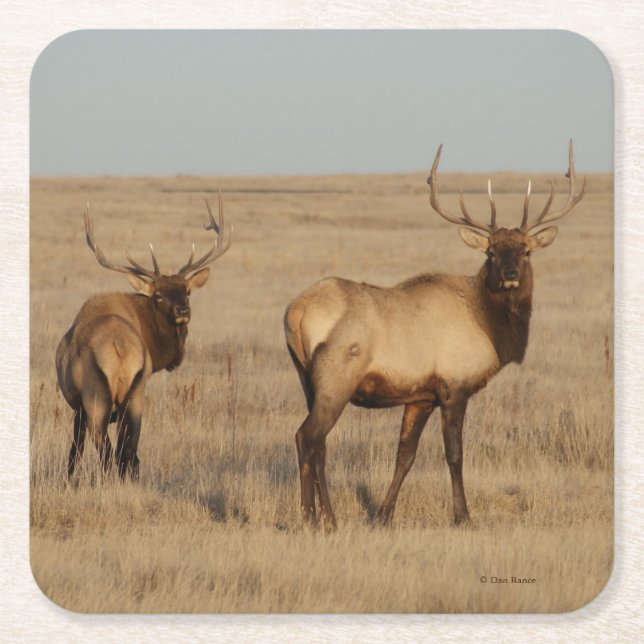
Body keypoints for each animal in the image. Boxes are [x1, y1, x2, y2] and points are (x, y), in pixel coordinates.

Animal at [56, 192, 232, 480]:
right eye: (158, 295)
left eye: (187, 291)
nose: (183, 310)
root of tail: (119, 348)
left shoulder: (79, 406)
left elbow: (75, 451)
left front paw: (70, 480)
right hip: (136, 393)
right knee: (127, 449)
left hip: (97, 396)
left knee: (106, 449)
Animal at [284, 141, 586, 529]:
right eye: (491, 251)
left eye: (526, 250)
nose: (510, 273)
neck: (489, 327)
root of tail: (296, 312)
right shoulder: (454, 386)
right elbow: (454, 454)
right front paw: (463, 516)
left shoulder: (421, 396)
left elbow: (405, 456)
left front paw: (383, 516)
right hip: (337, 378)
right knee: (307, 437)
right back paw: (311, 518)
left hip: (307, 380)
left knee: (319, 443)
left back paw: (330, 518)